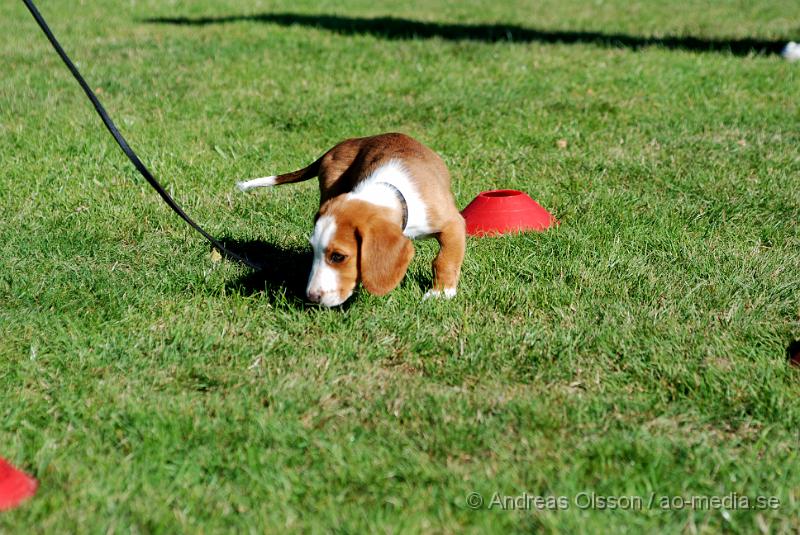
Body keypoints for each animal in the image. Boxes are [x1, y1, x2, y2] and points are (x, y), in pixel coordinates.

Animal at [234, 133, 466, 306]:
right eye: (313, 250)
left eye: (338, 257)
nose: (311, 297)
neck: (390, 192)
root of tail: (342, 145)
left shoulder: (453, 224)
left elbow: (445, 260)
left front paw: (441, 293)